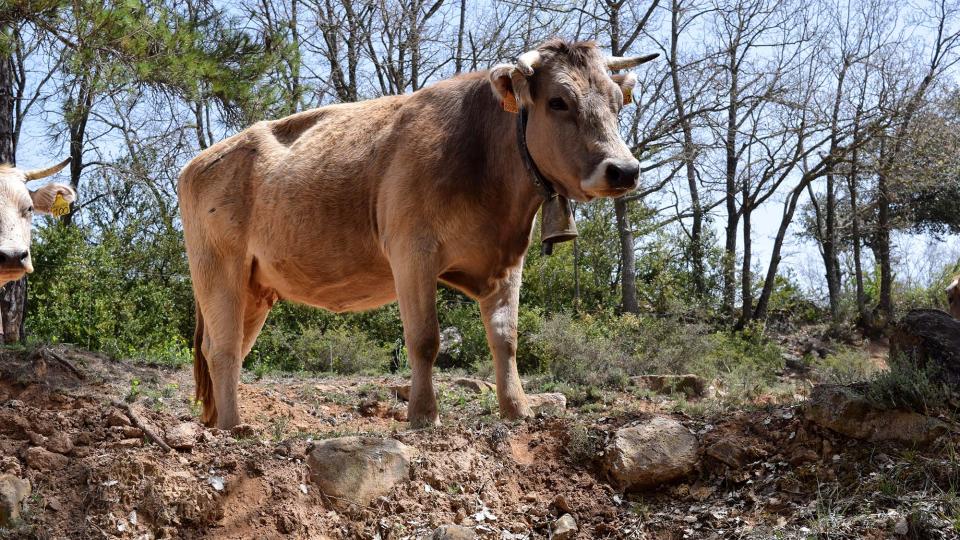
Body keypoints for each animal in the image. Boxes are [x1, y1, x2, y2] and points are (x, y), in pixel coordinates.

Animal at [179, 38, 656, 428]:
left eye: (617, 102)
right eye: (558, 101)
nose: (624, 170)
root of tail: (201, 160)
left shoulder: (507, 261)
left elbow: (505, 338)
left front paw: (517, 410)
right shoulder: (412, 252)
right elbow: (426, 338)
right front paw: (424, 415)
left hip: (255, 287)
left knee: (229, 349)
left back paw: (219, 422)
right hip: (218, 268)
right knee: (223, 351)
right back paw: (234, 427)